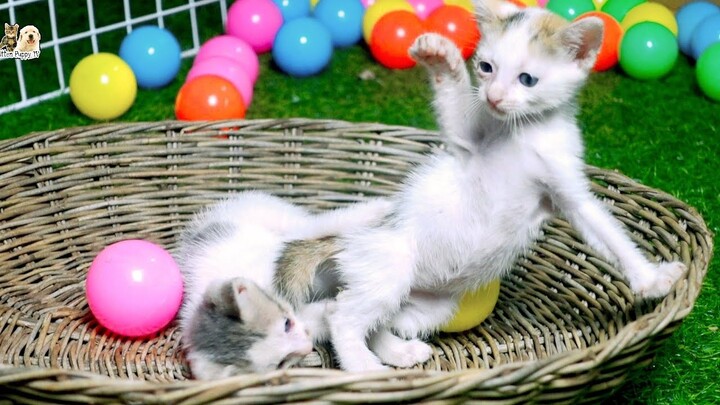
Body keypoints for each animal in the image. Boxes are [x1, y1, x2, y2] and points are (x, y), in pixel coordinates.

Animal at [176, 1, 688, 378]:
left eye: (527, 79)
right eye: (486, 67)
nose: (494, 97)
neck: (517, 133)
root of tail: (344, 242)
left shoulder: (565, 189)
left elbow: (605, 230)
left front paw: (650, 279)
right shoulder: (467, 142)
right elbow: (456, 112)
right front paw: (441, 57)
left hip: (431, 305)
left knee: (363, 315)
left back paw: (393, 352)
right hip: (390, 262)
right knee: (343, 316)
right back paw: (364, 367)